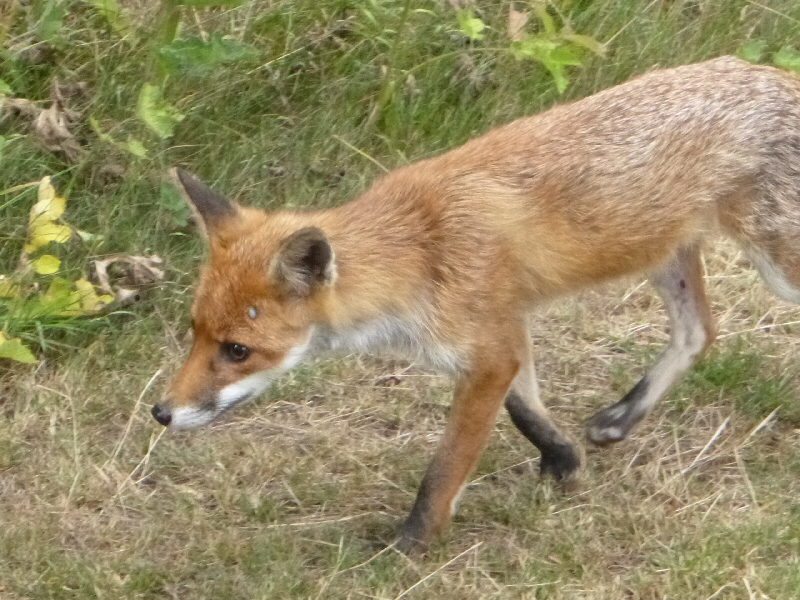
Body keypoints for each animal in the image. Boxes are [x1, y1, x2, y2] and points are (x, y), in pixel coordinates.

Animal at [152, 57, 800, 552]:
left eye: (238, 350)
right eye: (194, 332)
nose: (161, 413)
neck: (420, 252)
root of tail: (774, 72)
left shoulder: (488, 350)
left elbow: (444, 470)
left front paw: (409, 548)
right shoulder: (502, 333)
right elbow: (527, 412)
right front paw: (564, 464)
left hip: (771, 263)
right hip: (663, 252)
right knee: (700, 333)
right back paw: (622, 417)